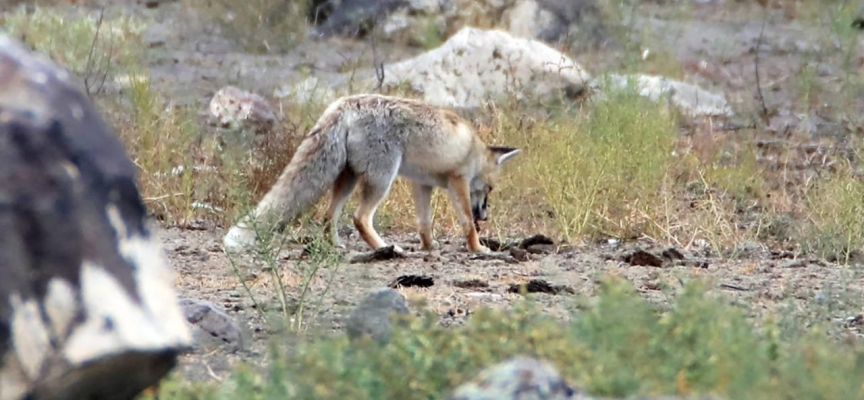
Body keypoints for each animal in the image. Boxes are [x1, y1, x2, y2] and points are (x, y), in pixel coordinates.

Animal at [223, 93, 520, 253]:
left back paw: (336, 245)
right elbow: (467, 222)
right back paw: (385, 248)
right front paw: (478, 248)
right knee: (360, 217)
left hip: (348, 178)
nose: (486, 216)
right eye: (490, 189)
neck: (473, 149)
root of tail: (344, 103)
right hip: (381, 178)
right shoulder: (457, 180)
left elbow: (424, 223)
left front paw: (428, 247)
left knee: (328, 216)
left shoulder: (421, 184)